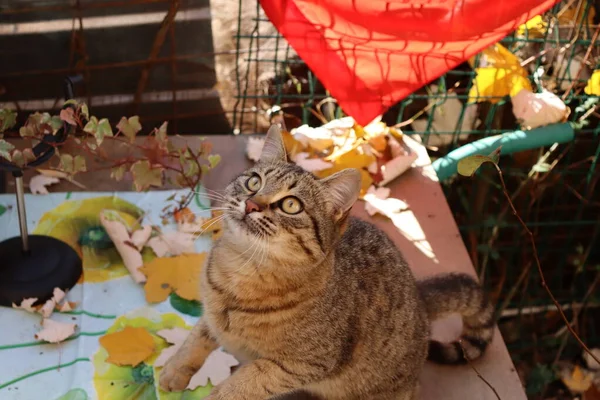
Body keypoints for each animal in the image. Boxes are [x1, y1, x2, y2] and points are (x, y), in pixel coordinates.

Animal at [158, 124, 492, 396]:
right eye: (253, 182)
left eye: (290, 205)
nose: (252, 204)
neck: (241, 270)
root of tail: (420, 300)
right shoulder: (211, 315)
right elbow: (195, 340)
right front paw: (173, 372)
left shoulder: (301, 365)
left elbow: (241, 385)